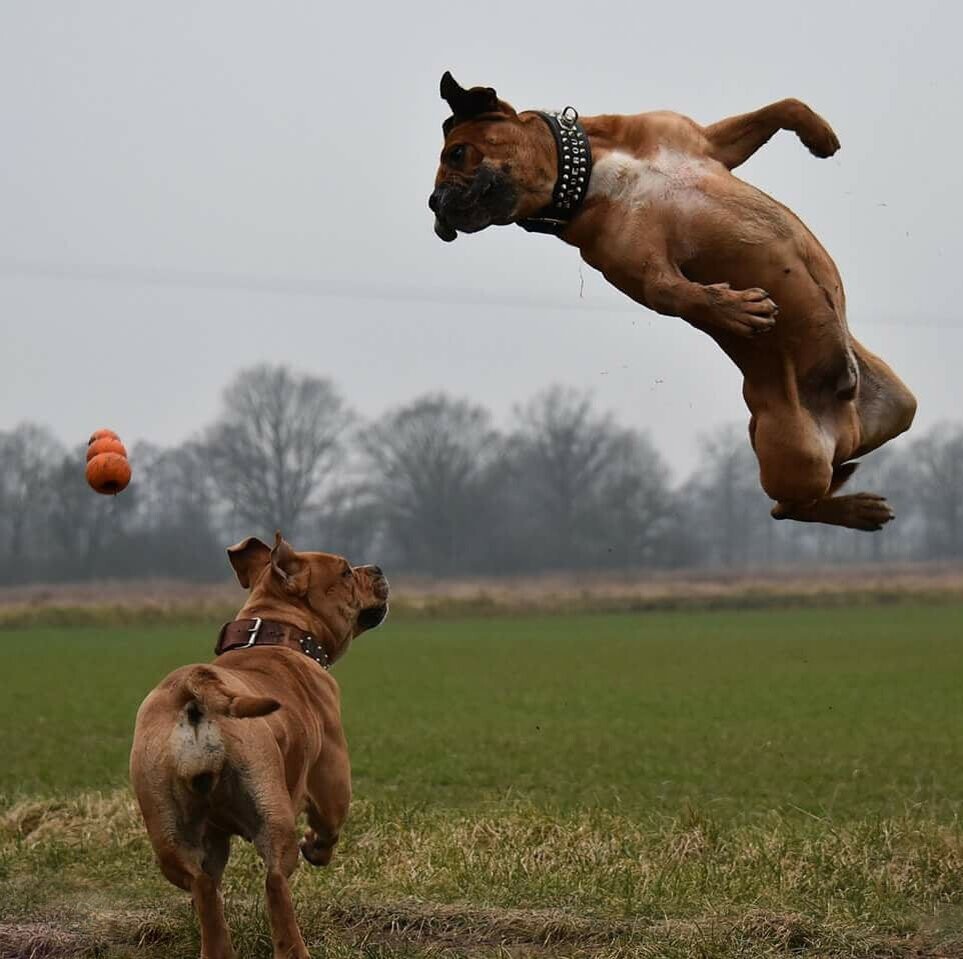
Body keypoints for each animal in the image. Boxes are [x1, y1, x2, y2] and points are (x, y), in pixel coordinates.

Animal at [130, 532, 390, 959]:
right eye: (345, 572)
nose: (378, 568)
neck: (276, 632)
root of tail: (192, 685)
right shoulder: (332, 781)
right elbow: (329, 825)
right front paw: (317, 847)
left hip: (171, 835)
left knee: (204, 887)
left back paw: (217, 946)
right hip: (273, 813)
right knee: (275, 884)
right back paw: (293, 949)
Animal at [432, 73, 920, 532]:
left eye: (456, 153)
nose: (435, 204)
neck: (588, 176)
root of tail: (850, 427)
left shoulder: (706, 141)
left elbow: (784, 105)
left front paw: (818, 135)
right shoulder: (644, 272)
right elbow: (679, 292)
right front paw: (737, 309)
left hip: (901, 406)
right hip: (796, 452)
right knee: (789, 508)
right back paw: (859, 511)